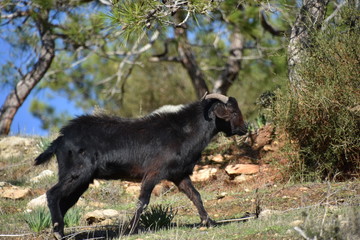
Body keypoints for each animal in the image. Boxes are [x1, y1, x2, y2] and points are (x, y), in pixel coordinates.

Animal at [34, 93, 248, 239]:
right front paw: (130, 230)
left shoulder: (178, 175)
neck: (183, 132)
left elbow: (195, 196)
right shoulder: (153, 172)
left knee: (64, 201)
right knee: (53, 194)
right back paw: (58, 233)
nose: (244, 128)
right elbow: (142, 202)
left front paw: (208, 221)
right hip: (77, 173)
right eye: (233, 111)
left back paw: (61, 232)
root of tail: (60, 139)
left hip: (80, 179)